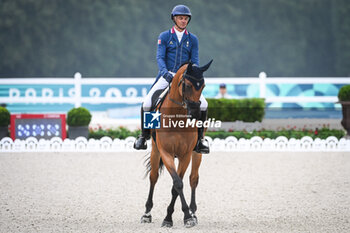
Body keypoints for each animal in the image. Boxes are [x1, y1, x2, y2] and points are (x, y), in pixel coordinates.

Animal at [140, 60, 212, 228]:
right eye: (187, 85)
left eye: (203, 86)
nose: (195, 114)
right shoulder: (165, 153)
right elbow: (177, 183)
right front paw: (171, 218)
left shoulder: (186, 155)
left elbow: (176, 186)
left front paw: (185, 217)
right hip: (155, 151)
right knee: (153, 177)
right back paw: (147, 214)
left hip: (196, 153)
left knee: (193, 179)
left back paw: (193, 212)